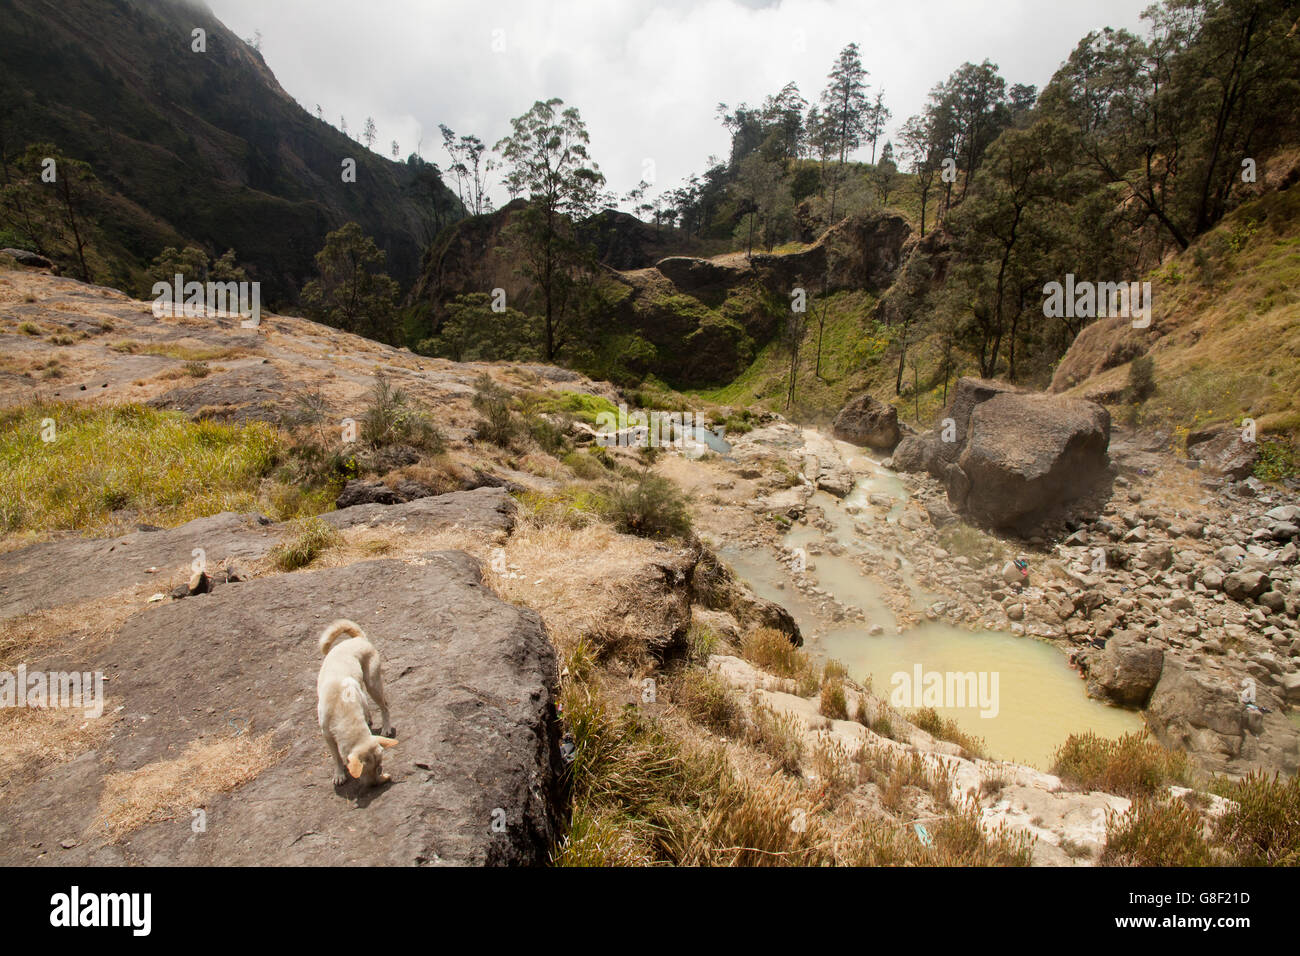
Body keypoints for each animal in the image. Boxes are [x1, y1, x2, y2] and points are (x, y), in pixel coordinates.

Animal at [315, 621, 395, 785]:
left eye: (380, 766)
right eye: (364, 771)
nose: (375, 785)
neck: (342, 710)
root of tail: (359, 639)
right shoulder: (326, 734)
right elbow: (336, 756)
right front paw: (339, 774)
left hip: (372, 683)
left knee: (384, 706)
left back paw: (386, 727)